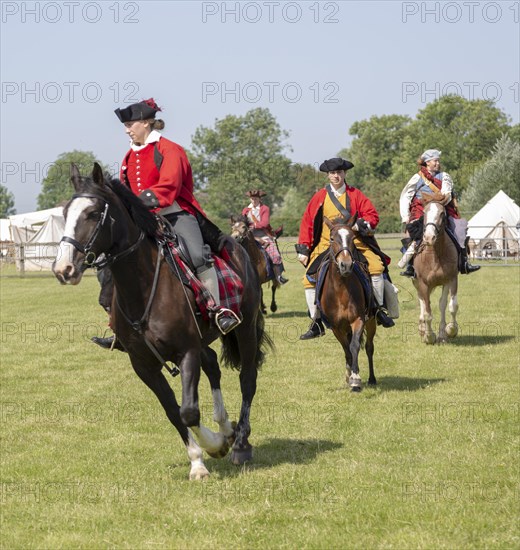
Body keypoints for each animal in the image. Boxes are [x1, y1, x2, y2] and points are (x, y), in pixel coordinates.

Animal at [52, 163, 272, 478]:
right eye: (65, 212)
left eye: (93, 213)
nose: (64, 268)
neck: (143, 289)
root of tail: (240, 249)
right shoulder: (143, 365)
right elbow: (174, 412)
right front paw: (199, 460)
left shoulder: (186, 351)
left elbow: (189, 411)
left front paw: (215, 446)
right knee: (213, 366)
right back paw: (226, 427)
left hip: (246, 331)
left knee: (247, 379)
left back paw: (240, 442)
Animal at [318, 216, 376, 392]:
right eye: (332, 238)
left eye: (352, 238)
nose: (346, 265)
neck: (340, 291)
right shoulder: (336, 327)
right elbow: (346, 350)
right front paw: (350, 376)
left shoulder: (359, 320)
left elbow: (354, 346)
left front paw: (356, 379)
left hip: (371, 321)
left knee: (369, 347)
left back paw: (371, 378)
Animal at [412, 192, 458, 342]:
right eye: (424, 212)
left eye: (442, 213)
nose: (429, 237)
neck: (435, 257)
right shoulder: (423, 283)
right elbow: (427, 312)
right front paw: (429, 336)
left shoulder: (450, 280)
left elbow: (450, 306)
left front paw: (450, 330)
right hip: (417, 283)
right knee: (422, 301)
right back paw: (422, 329)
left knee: (442, 304)